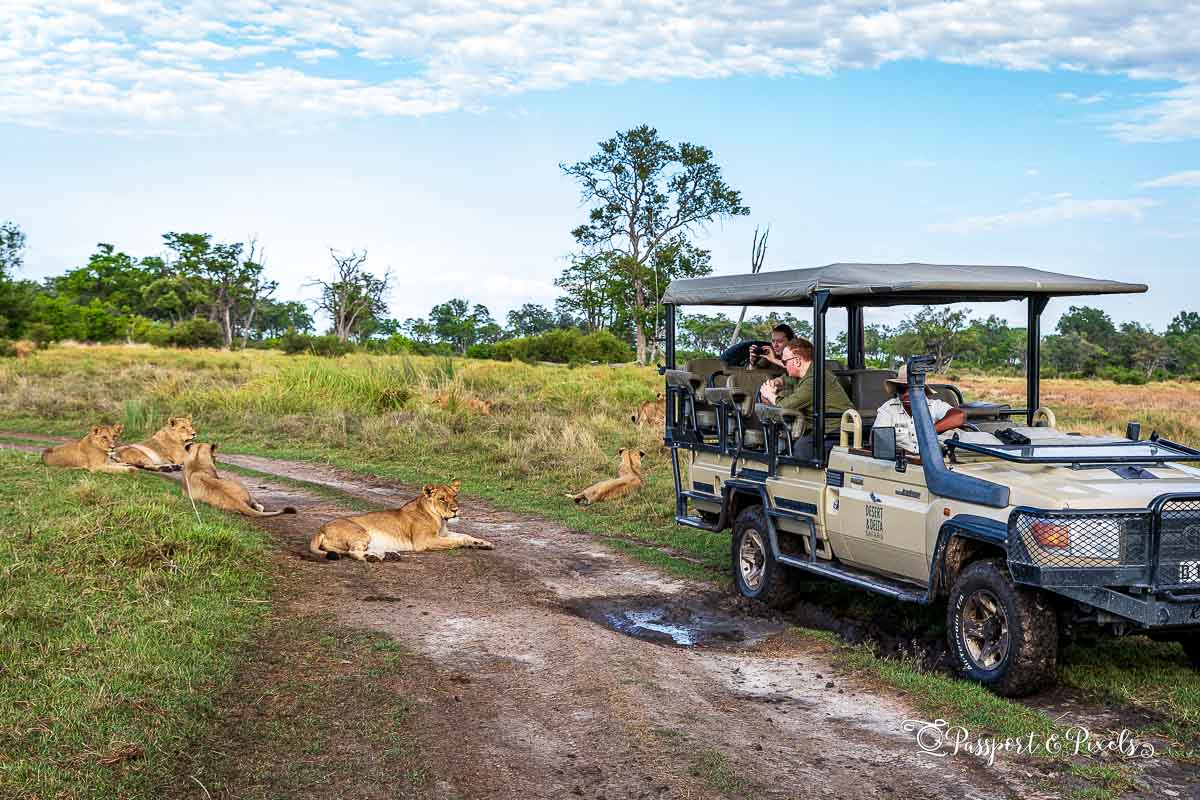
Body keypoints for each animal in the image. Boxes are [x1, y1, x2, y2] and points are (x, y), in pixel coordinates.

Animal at [309, 479, 493, 561]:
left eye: (455, 496)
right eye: (442, 499)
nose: (455, 510)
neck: (441, 520)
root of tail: (320, 529)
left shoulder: (443, 534)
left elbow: (465, 535)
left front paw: (483, 543)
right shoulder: (424, 541)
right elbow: (458, 540)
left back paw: (387, 554)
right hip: (360, 532)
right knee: (353, 552)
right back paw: (374, 558)